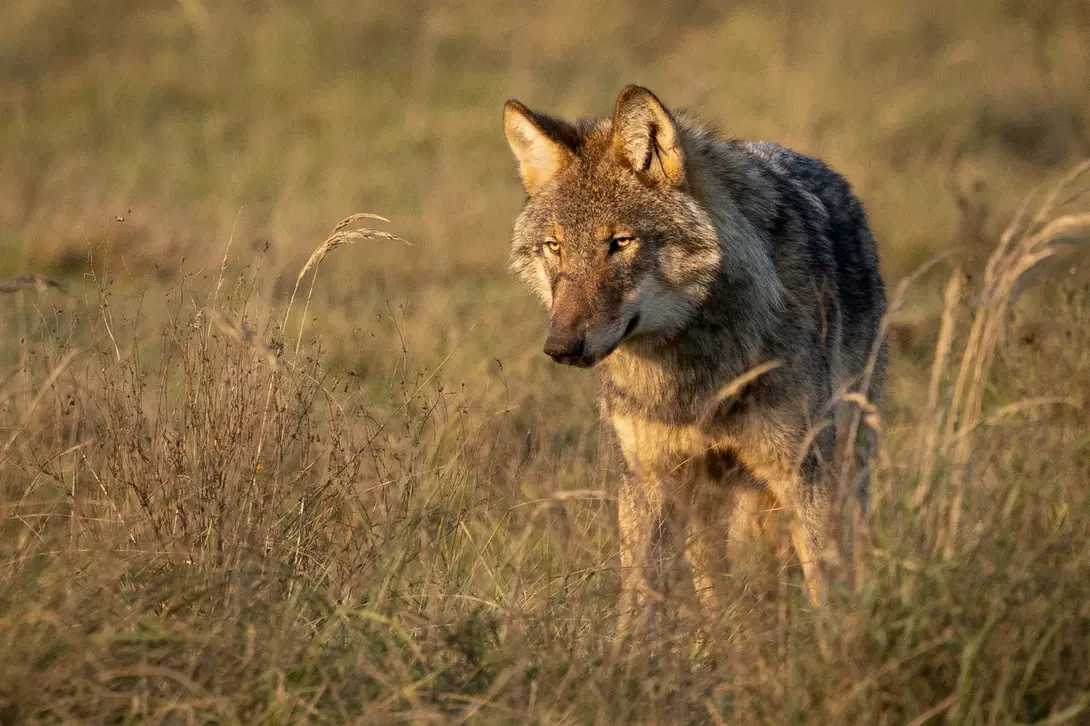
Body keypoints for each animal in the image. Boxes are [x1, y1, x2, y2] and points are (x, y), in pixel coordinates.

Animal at [502, 85, 888, 626]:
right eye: (554, 246)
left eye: (620, 242)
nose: (560, 347)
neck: (688, 377)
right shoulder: (647, 483)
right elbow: (637, 606)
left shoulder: (803, 475)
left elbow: (825, 590)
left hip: (842, 471)